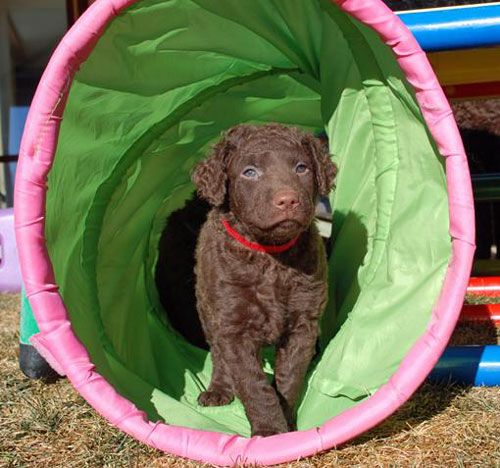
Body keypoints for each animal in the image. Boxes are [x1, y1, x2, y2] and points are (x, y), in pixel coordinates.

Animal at [191, 122, 336, 436]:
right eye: (249, 172)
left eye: (301, 168)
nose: (288, 200)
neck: (270, 256)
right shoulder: (233, 326)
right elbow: (253, 385)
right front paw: (269, 430)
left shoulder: (302, 324)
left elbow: (288, 378)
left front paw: (286, 423)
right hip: (207, 309)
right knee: (218, 353)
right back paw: (218, 390)